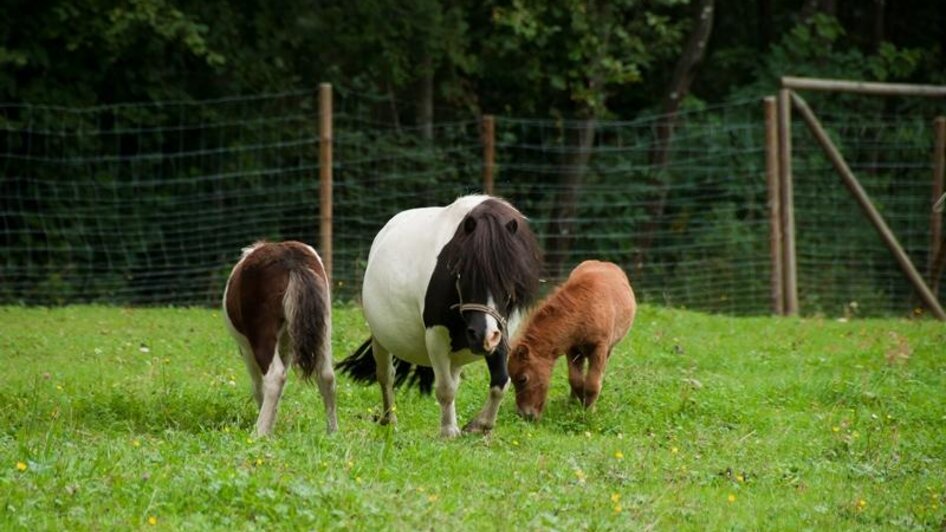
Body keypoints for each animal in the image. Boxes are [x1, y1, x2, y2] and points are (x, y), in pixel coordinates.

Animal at [223, 241, 338, 436]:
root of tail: (291, 259)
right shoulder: (287, 346)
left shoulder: (247, 350)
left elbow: (258, 385)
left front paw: (268, 428)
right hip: (324, 328)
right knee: (326, 375)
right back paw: (332, 432)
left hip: (260, 333)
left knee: (274, 376)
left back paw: (259, 433)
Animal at [338, 194, 540, 436]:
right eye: (462, 272)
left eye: (509, 277)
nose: (481, 335)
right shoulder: (436, 336)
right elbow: (445, 389)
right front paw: (449, 431)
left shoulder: (500, 331)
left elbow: (501, 383)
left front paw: (479, 426)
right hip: (381, 338)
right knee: (386, 376)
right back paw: (389, 419)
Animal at [508, 260, 636, 422]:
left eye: (523, 379)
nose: (524, 415)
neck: (585, 308)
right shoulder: (572, 349)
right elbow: (575, 380)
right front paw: (576, 404)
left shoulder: (599, 348)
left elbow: (592, 384)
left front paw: (588, 412)